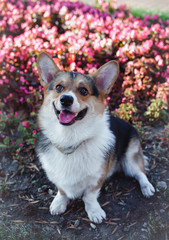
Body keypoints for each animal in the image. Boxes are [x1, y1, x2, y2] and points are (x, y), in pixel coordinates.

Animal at [36, 52, 155, 223]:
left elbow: (90, 196)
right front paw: (59, 203)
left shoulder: (97, 178)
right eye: (59, 87)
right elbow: (62, 190)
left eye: (83, 91)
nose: (66, 99)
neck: (70, 139)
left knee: (141, 173)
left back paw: (147, 187)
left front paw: (94, 212)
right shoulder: (57, 175)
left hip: (130, 158)